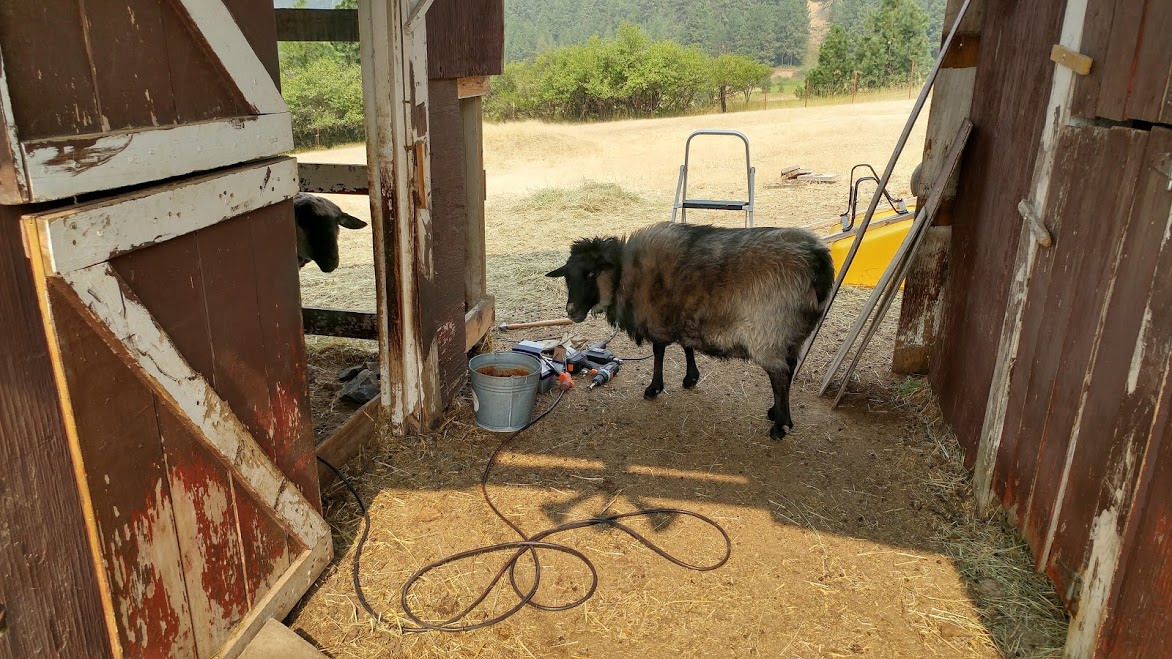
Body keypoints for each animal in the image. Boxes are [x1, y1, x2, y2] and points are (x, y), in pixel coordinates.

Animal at [546, 221, 834, 440]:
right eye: (567, 276)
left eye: (591, 274)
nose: (571, 311)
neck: (624, 275)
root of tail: (818, 260)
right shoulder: (682, 315)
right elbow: (686, 345)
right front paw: (690, 378)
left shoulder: (657, 317)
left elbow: (659, 352)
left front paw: (654, 388)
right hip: (793, 333)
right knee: (789, 369)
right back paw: (778, 413)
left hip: (768, 332)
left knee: (780, 375)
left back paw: (780, 426)